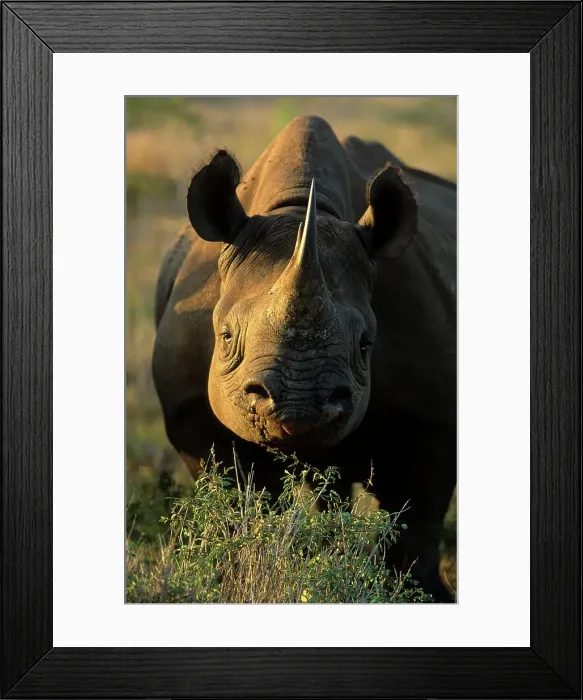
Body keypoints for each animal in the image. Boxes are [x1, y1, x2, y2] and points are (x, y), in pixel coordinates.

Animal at [153, 115, 457, 602]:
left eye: (366, 344)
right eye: (225, 337)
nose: (299, 405)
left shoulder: (430, 415)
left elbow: (415, 521)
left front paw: (421, 594)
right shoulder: (193, 412)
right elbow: (237, 506)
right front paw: (234, 581)